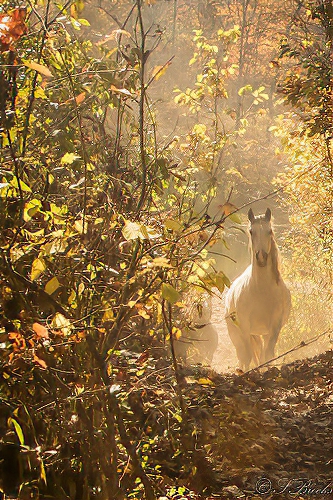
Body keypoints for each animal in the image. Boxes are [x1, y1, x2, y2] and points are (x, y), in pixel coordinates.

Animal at [224, 208, 290, 372]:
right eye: (251, 231)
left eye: (269, 231)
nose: (261, 257)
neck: (261, 291)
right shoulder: (245, 327)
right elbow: (248, 357)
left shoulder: (274, 327)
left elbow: (267, 355)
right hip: (237, 334)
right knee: (243, 355)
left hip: (260, 334)